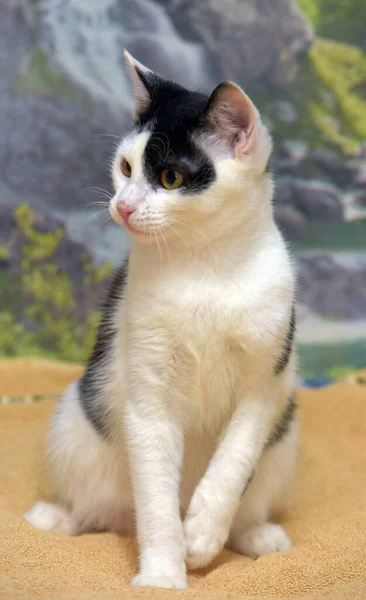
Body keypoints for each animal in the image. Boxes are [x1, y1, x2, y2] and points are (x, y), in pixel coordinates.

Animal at [25, 51, 298, 592]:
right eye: (126, 167)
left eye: (171, 178)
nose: (123, 205)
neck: (206, 267)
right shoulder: (148, 394)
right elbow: (155, 499)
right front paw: (162, 576)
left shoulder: (266, 384)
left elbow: (236, 458)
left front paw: (204, 533)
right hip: (74, 420)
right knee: (100, 511)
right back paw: (61, 518)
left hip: (284, 439)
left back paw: (255, 535)